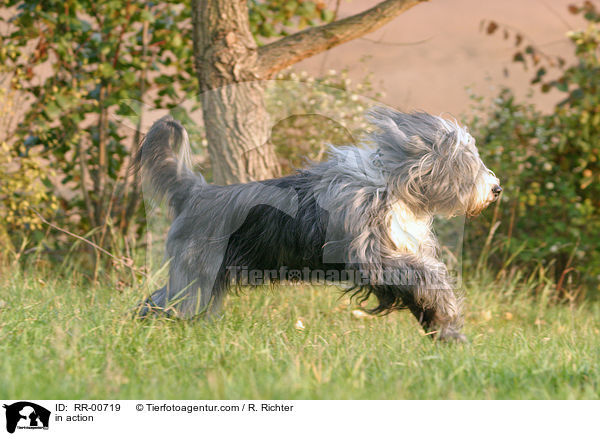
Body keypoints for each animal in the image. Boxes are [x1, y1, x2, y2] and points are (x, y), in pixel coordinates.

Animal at [134, 107, 500, 342]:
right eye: (466, 161)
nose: (496, 189)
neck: (393, 187)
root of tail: (195, 191)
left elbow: (422, 290)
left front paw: (445, 330)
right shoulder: (373, 257)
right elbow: (426, 275)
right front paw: (446, 312)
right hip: (196, 270)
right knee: (165, 301)